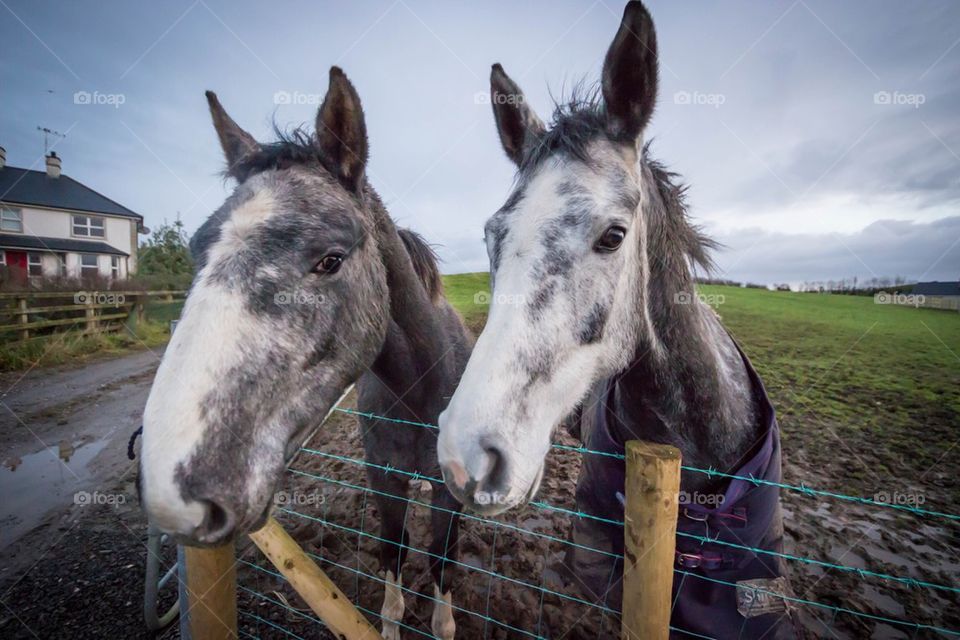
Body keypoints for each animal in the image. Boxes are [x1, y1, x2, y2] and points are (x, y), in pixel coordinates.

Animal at [138, 67, 472, 640]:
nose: (172, 487)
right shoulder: (384, 478)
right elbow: (394, 551)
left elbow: (440, 559)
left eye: (331, 260)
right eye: (197, 251)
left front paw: (443, 621)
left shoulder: (447, 489)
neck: (422, 391)